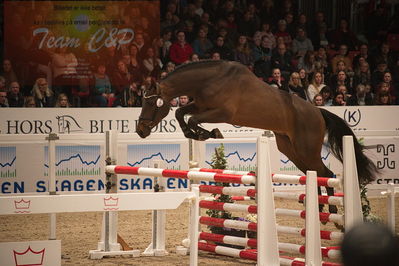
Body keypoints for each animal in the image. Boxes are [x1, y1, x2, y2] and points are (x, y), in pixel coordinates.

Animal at [137, 60, 378, 214]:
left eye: (152, 103)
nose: (140, 130)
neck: (209, 79)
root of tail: (318, 111)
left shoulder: (222, 113)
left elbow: (194, 119)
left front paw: (209, 133)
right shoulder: (200, 105)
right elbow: (180, 112)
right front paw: (193, 133)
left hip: (306, 148)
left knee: (325, 173)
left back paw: (332, 210)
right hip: (290, 149)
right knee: (315, 173)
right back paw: (318, 207)